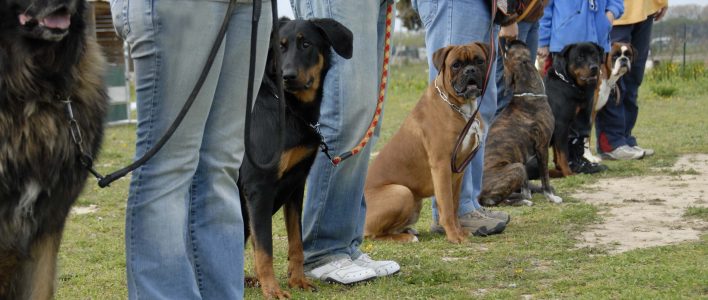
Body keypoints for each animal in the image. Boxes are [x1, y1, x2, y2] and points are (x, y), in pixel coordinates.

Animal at [239, 17, 352, 298]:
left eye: (306, 44)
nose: (287, 76)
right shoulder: (258, 187)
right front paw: (273, 290)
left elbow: (296, 242)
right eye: (279, 48)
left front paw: (298, 280)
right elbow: (264, 248)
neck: (288, 107)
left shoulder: (296, 183)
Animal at [362, 42, 490, 244]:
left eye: (479, 61)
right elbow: (447, 206)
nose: (470, 70)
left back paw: (408, 231)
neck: (459, 107)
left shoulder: (458, 172)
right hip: (401, 192)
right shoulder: (441, 166)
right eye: (456, 65)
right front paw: (454, 236)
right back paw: (405, 237)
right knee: (375, 235)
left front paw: (460, 232)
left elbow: (454, 205)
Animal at [478, 40, 560, 206]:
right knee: (499, 201)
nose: (508, 40)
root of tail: (478, 197)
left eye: (506, 52)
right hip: (517, 168)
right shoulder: (542, 147)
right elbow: (545, 178)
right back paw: (523, 202)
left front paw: (527, 193)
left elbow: (526, 184)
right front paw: (551, 197)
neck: (527, 93)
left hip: (519, 165)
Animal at [544, 42, 604, 178]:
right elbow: (563, 152)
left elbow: (557, 152)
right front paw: (568, 172)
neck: (567, 82)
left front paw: (559, 170)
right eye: (580, 57)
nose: (594, 67)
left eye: (595, 55)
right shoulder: (561, 125)